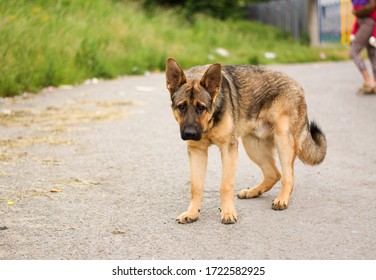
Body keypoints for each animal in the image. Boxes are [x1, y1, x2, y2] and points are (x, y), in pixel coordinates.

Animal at [164, 58, 326, 224]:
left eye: (201, 107)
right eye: (181, 106)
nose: (189, 133)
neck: (211, 119)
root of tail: (297, 85)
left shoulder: (229, 149)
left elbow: (226, 184)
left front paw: (228, 212)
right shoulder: (197, 151)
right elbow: (196, 186)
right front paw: (192, 213)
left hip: (283, 141)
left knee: (288, 176)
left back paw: (282, 199)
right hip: (253, 147)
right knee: (274, 174)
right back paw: (253, 192)